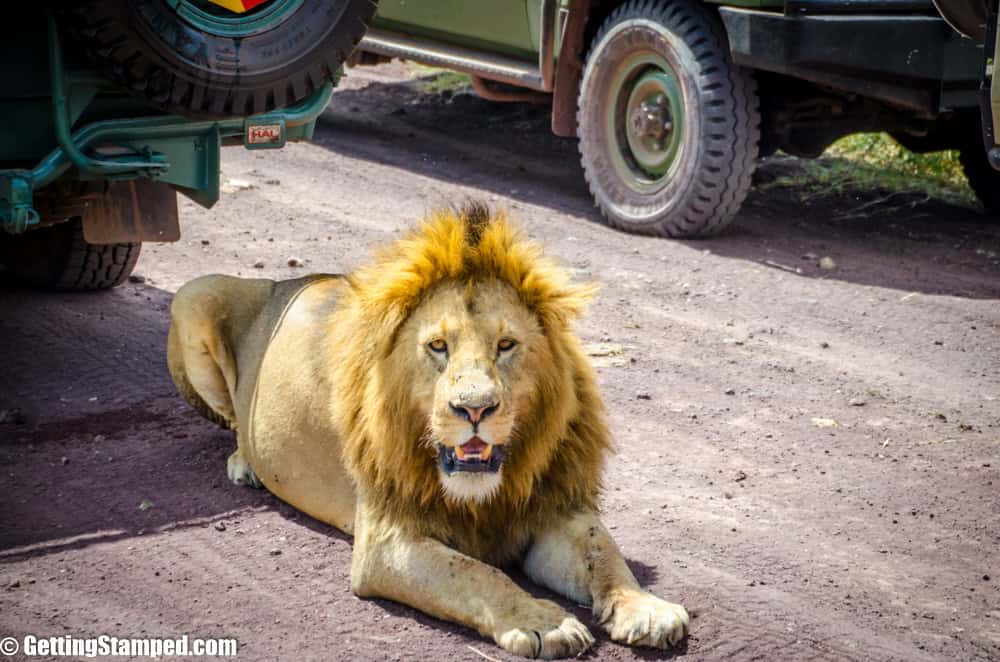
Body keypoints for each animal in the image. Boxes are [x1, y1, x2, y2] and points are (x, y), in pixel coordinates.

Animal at [168, 206, 692, 660]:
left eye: (506, 345)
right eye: (438, 346)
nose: (475, 408)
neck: (485, 492)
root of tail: (294, 280)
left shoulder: (554, 507)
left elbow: (604, 553)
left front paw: (648, 609)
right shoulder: (386, 542)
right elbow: (477, 573)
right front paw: (544, 622)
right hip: (194, 294)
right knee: (231, 421)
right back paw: (244, 464)